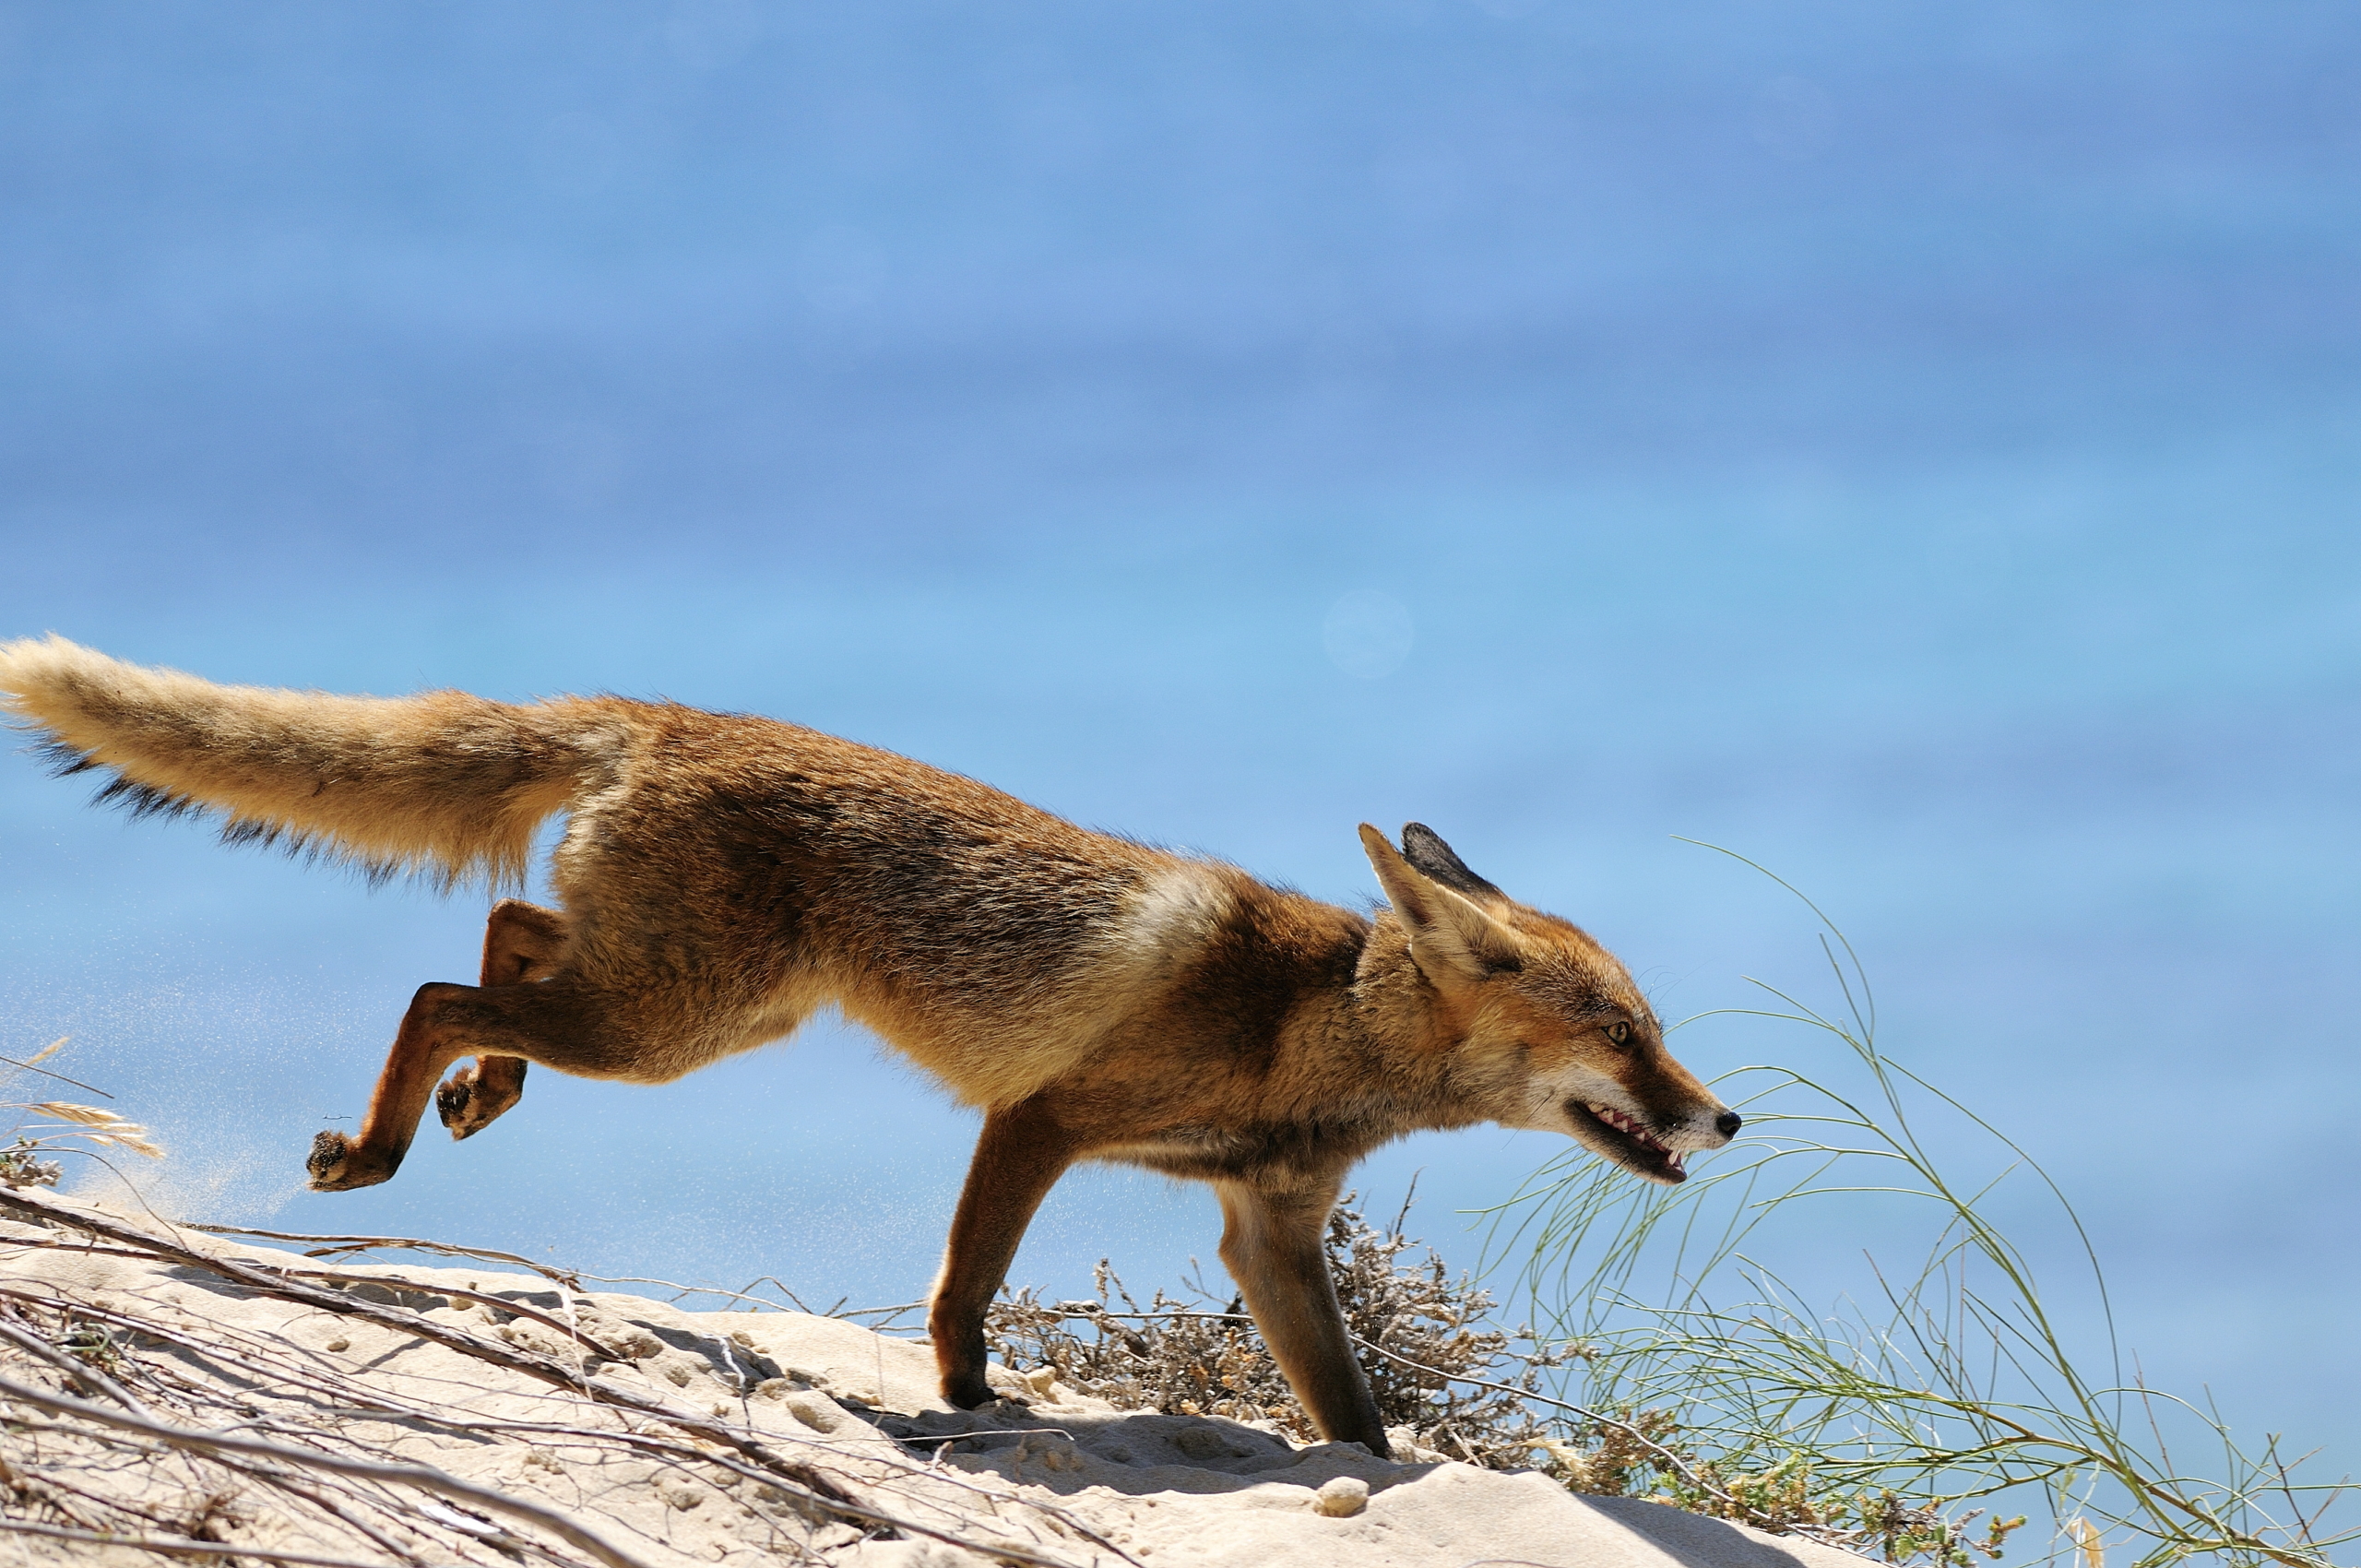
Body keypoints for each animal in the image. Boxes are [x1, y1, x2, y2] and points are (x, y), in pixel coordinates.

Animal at [0, 633, 1738, 1455]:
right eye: (1627, 1036)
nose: (1722, 1121)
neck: (1306, 1026)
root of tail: (659, 715)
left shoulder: (1267, 1230)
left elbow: (1356, 1420)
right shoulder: (1041, 1121)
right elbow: (966, 1284)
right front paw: (969, 1398)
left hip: (688, 1005)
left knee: (502, 936)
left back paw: (477, 1096)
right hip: (673, 1028)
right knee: (448, 984)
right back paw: (381, 1146)